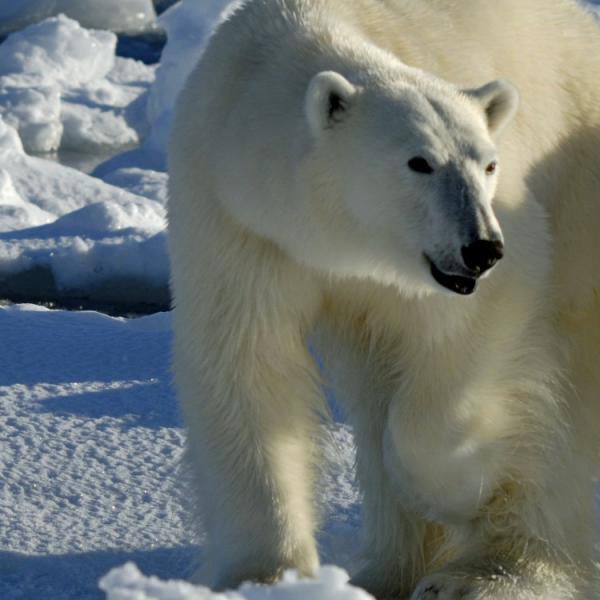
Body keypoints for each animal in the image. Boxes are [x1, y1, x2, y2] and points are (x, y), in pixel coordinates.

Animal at [166, 0, 600, 596]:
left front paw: (461, 486)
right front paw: (267, 576)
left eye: (489, 163)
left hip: (578, 201)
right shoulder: (237, 225)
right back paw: (391, 571)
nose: (481, 248)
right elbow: (247, 366)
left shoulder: (498, 244)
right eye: (420, 162)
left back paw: (484, 575)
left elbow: (472, 338)